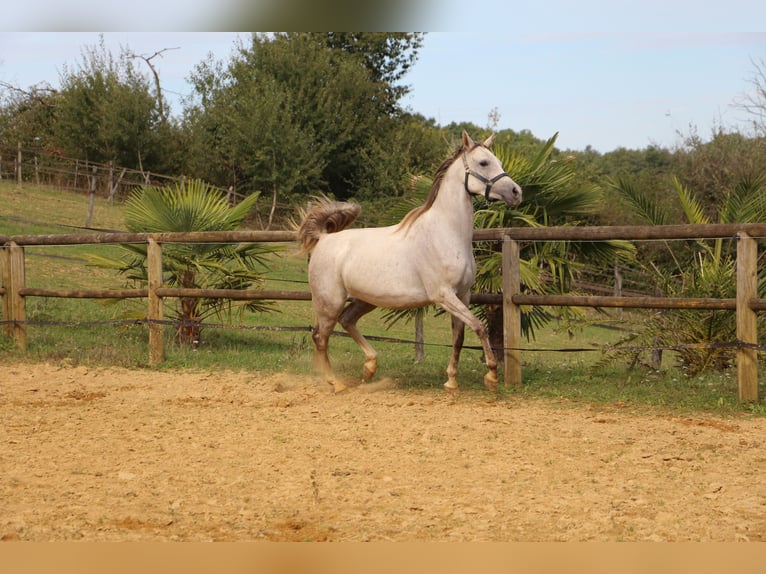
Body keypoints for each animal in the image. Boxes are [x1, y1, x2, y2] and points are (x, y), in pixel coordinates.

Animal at [296, 131, 524, 394]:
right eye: (484, 162)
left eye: (498, 161)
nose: (516, 192)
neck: (445, 233)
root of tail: (323, 238)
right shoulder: (443, 295)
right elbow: (480, 327)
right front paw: (491, 376)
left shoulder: (463, 295)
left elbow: (458, 337)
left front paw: (451, 380)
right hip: (329, 303)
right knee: (321, 338)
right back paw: (337, 383)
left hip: (365, 300)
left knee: (347, 321)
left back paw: (370, 367)